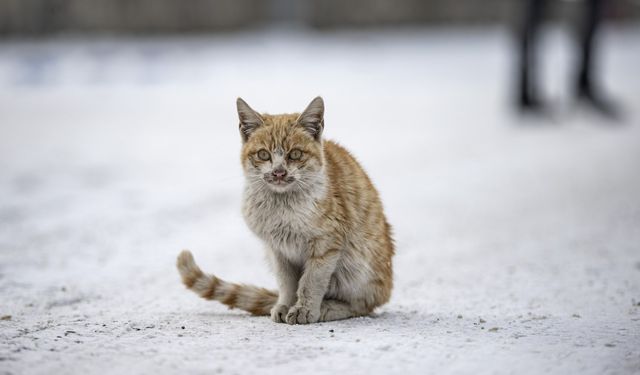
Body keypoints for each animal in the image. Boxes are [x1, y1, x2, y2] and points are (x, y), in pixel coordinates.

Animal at [176, 96, 396, 324]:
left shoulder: (326, 245)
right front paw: (285, 305)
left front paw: (304, 310)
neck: (281, 208)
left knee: (363, 305)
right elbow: (287, 284)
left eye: (296, 154)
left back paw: (328, 307)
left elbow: (310, 282)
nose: (279, 172)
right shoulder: (278, 251)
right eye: (263, 154)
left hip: (359, 269)